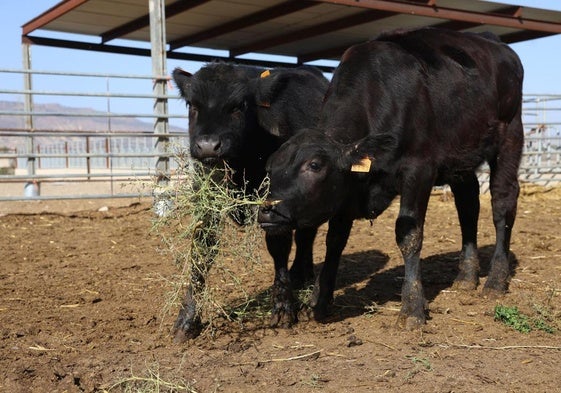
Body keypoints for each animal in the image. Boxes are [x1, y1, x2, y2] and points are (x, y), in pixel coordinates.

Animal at [171, 62, 328, 342]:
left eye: (239, 105)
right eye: (192, 105)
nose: (208, 146)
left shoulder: (275, 202)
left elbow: (279, 247)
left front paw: (283, 306)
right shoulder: (207, 200)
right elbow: (201, 253)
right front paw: (187, 318)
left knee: (306, 235)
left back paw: (302, 274)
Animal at [258, 27, 524, 328]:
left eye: (314, 165)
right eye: (270, 167)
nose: (268, 210)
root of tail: (493, 40)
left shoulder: (419, 170)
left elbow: (409, 234)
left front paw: (412, 307)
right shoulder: (347, 190)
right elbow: (335, 239)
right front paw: (321, 299)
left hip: (510, 137)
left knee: (502, 202)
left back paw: (496, 280)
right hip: (461, 157)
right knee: (467, 205)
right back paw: (467, 277)